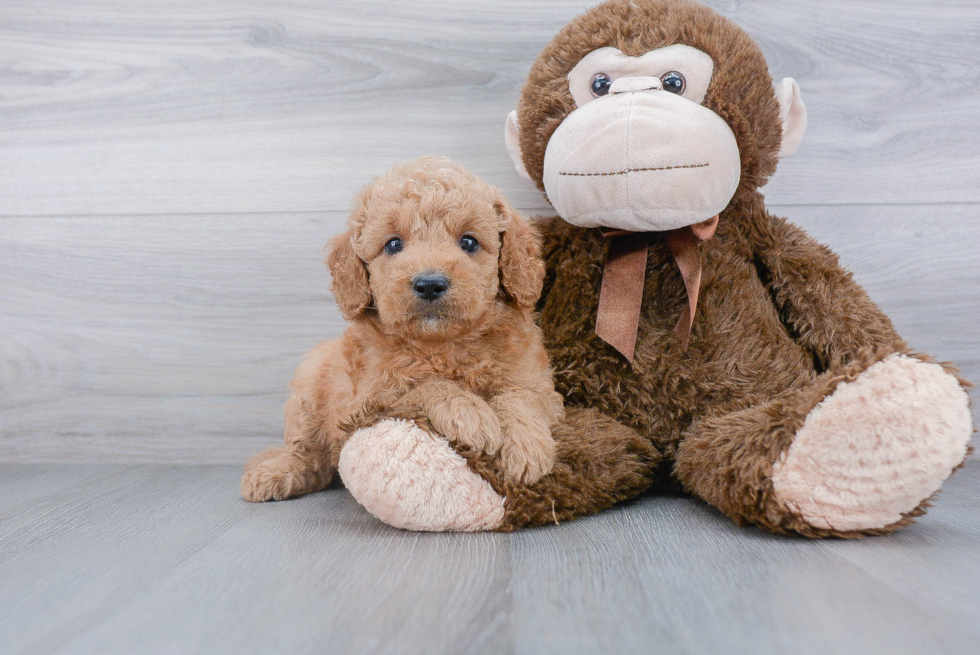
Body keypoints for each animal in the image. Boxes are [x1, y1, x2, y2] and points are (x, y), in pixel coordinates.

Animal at [241, 158, 564, 502]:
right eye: (393, 244)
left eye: (469, 242)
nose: (430, 283)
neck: (443, 344)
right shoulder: (369, 403)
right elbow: (426, 386)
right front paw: (470, 414)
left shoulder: (539, 385)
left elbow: (522, 397)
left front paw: (527, 447)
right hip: (309, 384)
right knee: (308, 454)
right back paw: (274, 473)